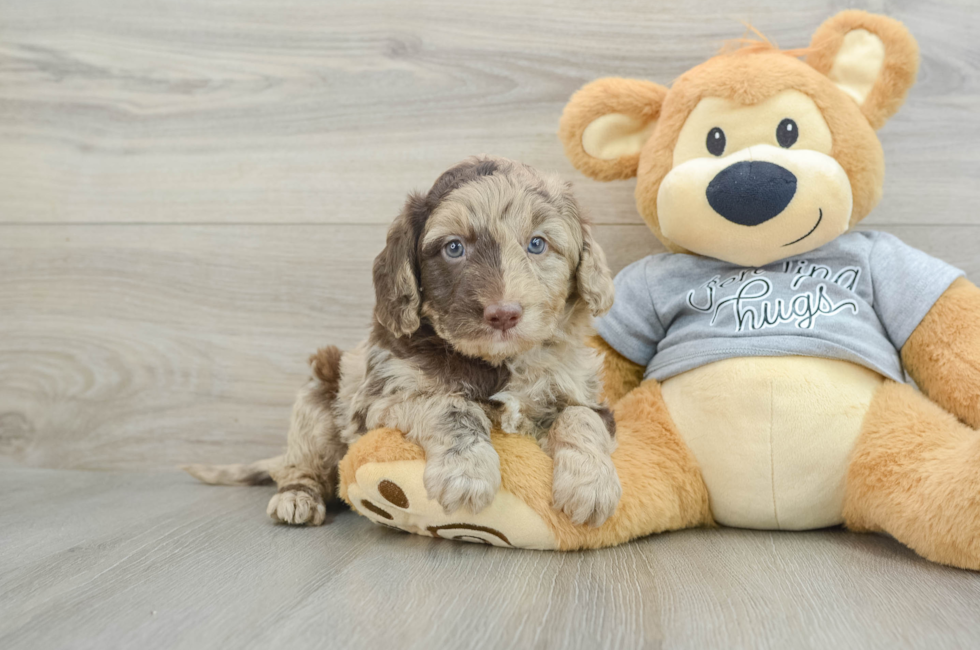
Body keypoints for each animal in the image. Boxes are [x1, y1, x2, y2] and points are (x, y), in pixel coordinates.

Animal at [186, 156, 620, 528]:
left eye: (537, 244)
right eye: (454, 247)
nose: (503, 314)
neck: (496, 362)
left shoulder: (584, 394)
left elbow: (580, 417)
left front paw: (591, 485)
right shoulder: (383, 399)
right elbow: (451, 406)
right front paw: (466, 473)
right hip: (317, 397)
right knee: (303, 464)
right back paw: (297, 496)